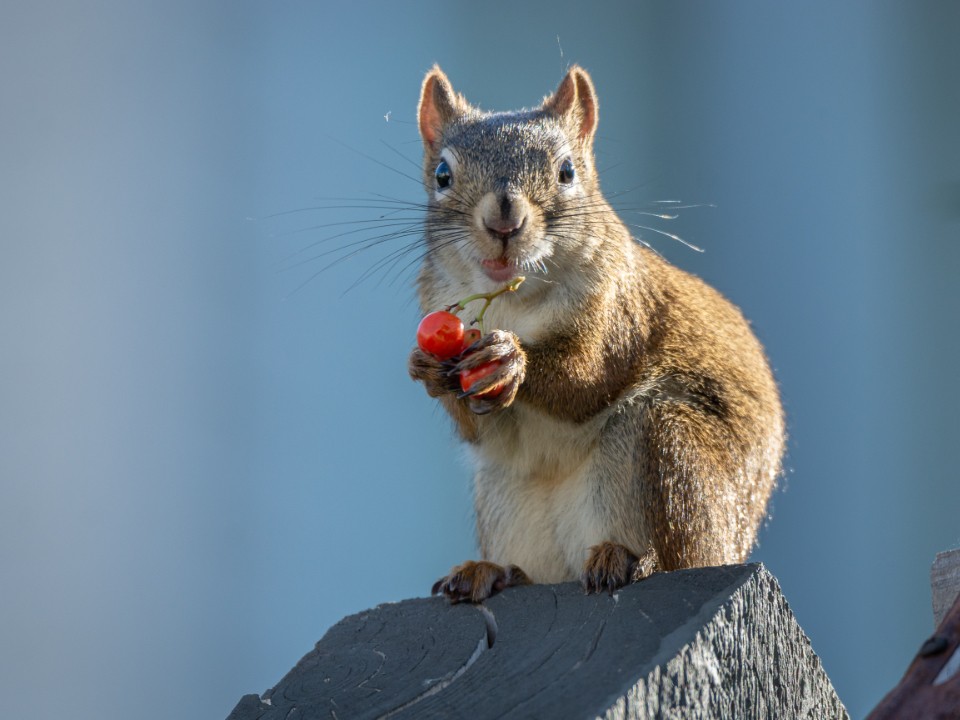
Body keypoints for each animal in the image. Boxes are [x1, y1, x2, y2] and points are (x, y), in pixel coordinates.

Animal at [408, 63, 784, 600]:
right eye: (442, 175)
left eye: (567, 171)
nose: (503, 220)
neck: (514, 304)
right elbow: (478, 429)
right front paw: (424, 367)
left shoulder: (619, 312)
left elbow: (585, 380)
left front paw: (511, 362)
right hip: (505, 499)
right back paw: (495, 572)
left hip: (673, 449)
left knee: (682, 553)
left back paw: (634, 560)